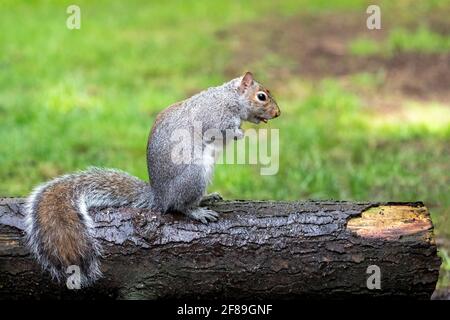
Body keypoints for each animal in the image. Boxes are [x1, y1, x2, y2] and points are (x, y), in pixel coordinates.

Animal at [24, 72, 280, 288]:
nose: (278, 113)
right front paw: (241, 132)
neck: (230, 97)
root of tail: (160, 196)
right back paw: (197, 211)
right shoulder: (215, 116)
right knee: (179, 206)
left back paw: (207, 198)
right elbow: (223, 130)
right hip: (195, 174)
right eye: (261, 96)